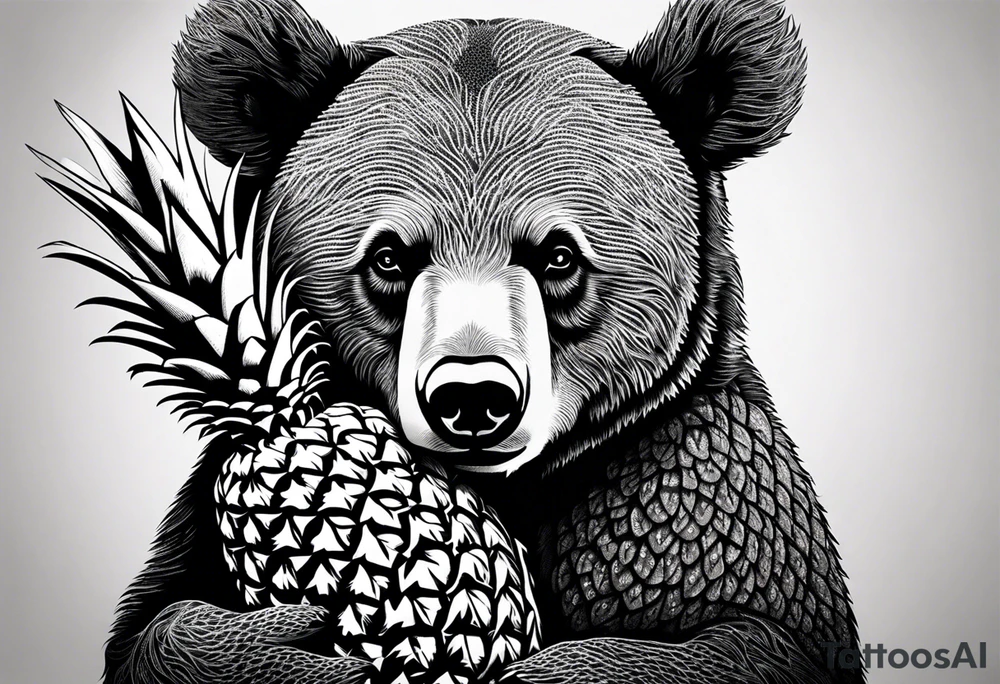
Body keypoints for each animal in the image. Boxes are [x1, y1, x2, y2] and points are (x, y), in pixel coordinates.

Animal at [101, 0, 861, 682]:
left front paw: (546, 669)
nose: (472, 397)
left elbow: (755, 634)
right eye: (388, 257)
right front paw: (294, 654)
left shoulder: (685, 480)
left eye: (559, 256)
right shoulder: (207, 517)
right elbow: (153, 624)